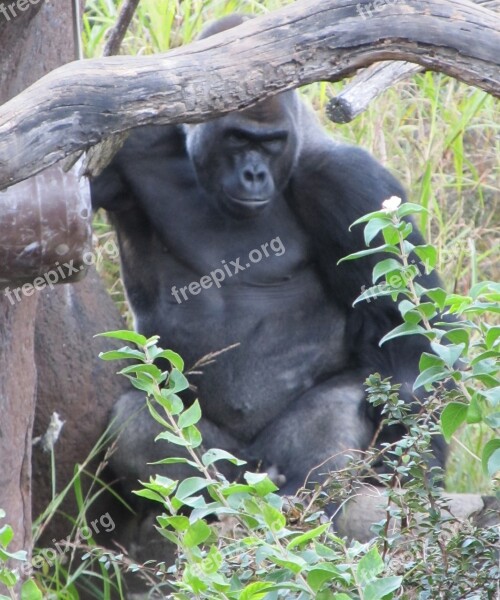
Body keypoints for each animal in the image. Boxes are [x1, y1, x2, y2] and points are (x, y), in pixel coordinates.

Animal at [92, 12, 448, 510]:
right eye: (239, 138)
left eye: (272, 142)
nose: (253, 174)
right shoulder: (131, 144)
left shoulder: (349, 182)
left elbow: (409, 336)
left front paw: (420, 465)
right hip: (226, 464)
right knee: (142, 422)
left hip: (267, 468)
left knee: (337, 411)